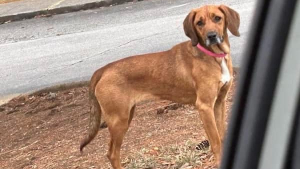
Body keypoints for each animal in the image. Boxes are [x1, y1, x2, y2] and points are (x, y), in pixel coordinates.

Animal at [79, 4, 239, 168]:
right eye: (199, 23)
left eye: (217, 18)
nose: (211, 36)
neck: (214, 56)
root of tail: (103, 69)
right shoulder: (205, 106)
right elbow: (216, 142)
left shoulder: (219, 103)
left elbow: (222, 136)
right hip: (119, 120)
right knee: (112, 153)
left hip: (127, 115)